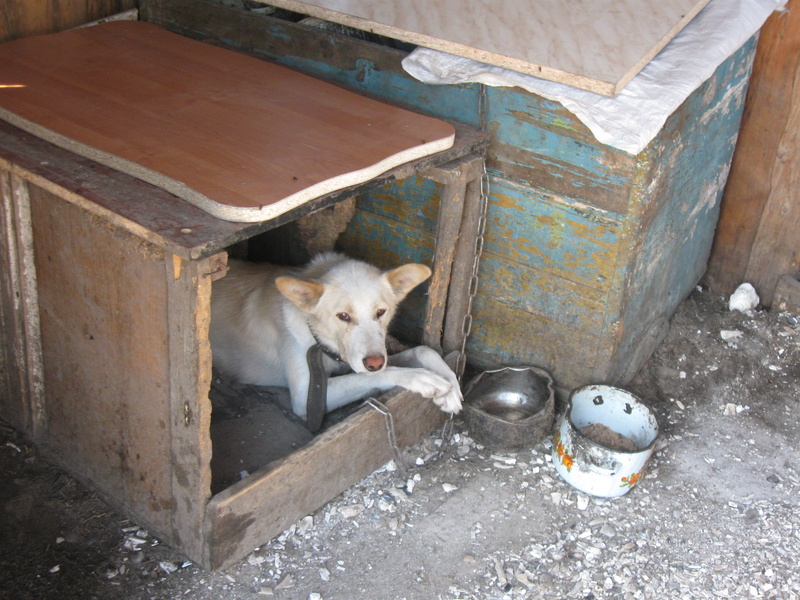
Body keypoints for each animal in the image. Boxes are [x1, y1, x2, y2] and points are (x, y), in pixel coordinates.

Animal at [209, 251, 462, 424]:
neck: (320, 341)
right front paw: (423, 378)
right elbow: (374, 375)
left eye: (381, 312)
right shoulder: (306, 395)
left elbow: (423, 350)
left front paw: (450, 383)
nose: (374, 363)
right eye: (343, 316)